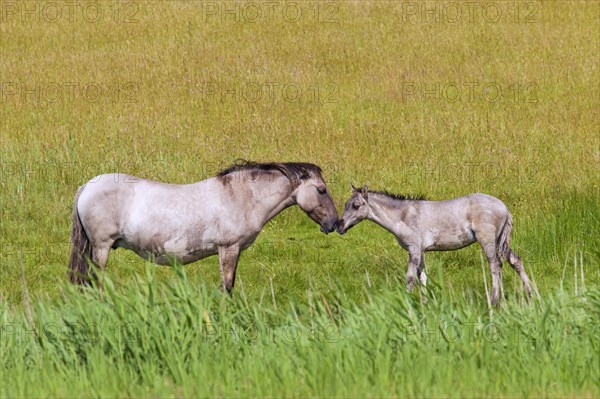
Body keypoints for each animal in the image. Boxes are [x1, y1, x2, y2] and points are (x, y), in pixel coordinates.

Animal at [68, 160, 340, 294]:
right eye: (321, 190)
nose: (334, 223)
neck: (240, 196)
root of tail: (86, 187)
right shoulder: (228, 248)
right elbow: (226, 286)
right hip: (101, 248)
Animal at [338, 187, 536, 306]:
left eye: (356, 205)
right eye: (346, 204)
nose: (339, 226)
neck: (403, 215)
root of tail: (504, 208)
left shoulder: (414, 249)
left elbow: (411, 278)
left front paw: (407, 302)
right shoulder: (422, 252)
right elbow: (422, 276)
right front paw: (426, 303)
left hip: (487, 240)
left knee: (495, 265)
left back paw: (494, 300)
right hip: (500, 241)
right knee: (515, 261)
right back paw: (530, 294)